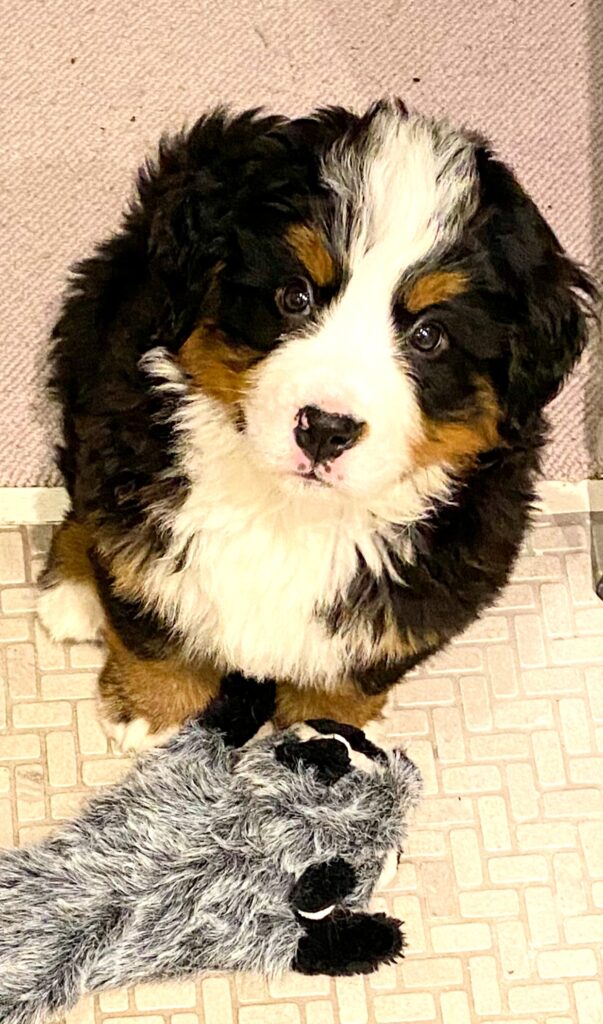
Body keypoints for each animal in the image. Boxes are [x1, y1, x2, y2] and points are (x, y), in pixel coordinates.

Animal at [37, 99, 593, 749]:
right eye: (294, 296)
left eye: (429, 335)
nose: (326, 428)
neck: (290, 515)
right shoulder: (142, 490)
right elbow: (151, 613)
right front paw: (155, 714)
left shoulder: (436, 583)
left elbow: (355, 673)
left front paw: (330, 729)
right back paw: (73, 588)